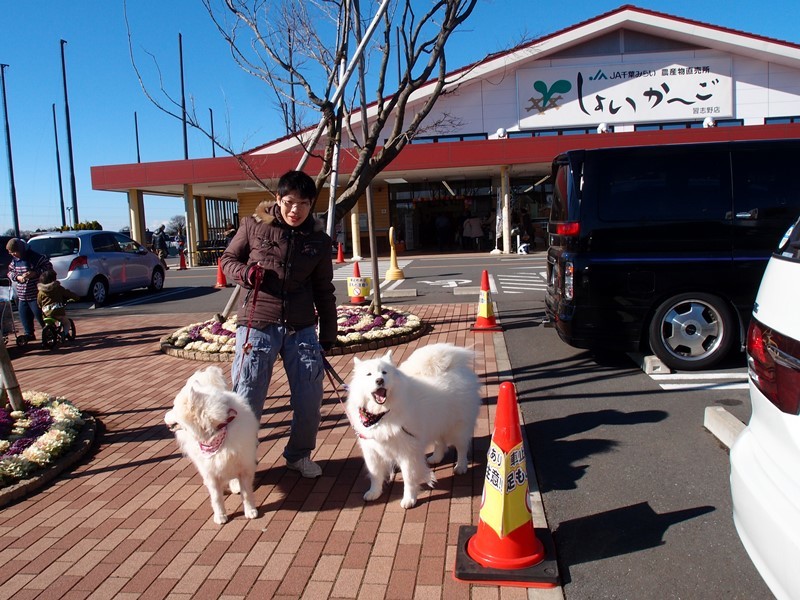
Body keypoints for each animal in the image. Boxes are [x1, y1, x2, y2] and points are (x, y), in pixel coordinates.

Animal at [165, 364, 260, 524]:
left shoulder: (243, 465)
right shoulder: (210, 470)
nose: (164, 416)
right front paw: (220, 516)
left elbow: (247, 493)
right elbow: (216, 497)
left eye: (174, 408)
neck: (218, 429)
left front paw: (250, 511)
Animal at [346, 342, 482, 506]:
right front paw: (374, 493)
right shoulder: (372, 451)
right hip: (435, 422)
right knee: (440, 442)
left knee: (462, 448)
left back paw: (460, 466)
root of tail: (456, 367)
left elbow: (409, 478)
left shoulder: (407, 452)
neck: (381, 414)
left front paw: (409, 500)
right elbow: (375, 474)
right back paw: (435, 458)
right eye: (369, 374)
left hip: (458, 427)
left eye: (384, 372)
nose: (379, 380)